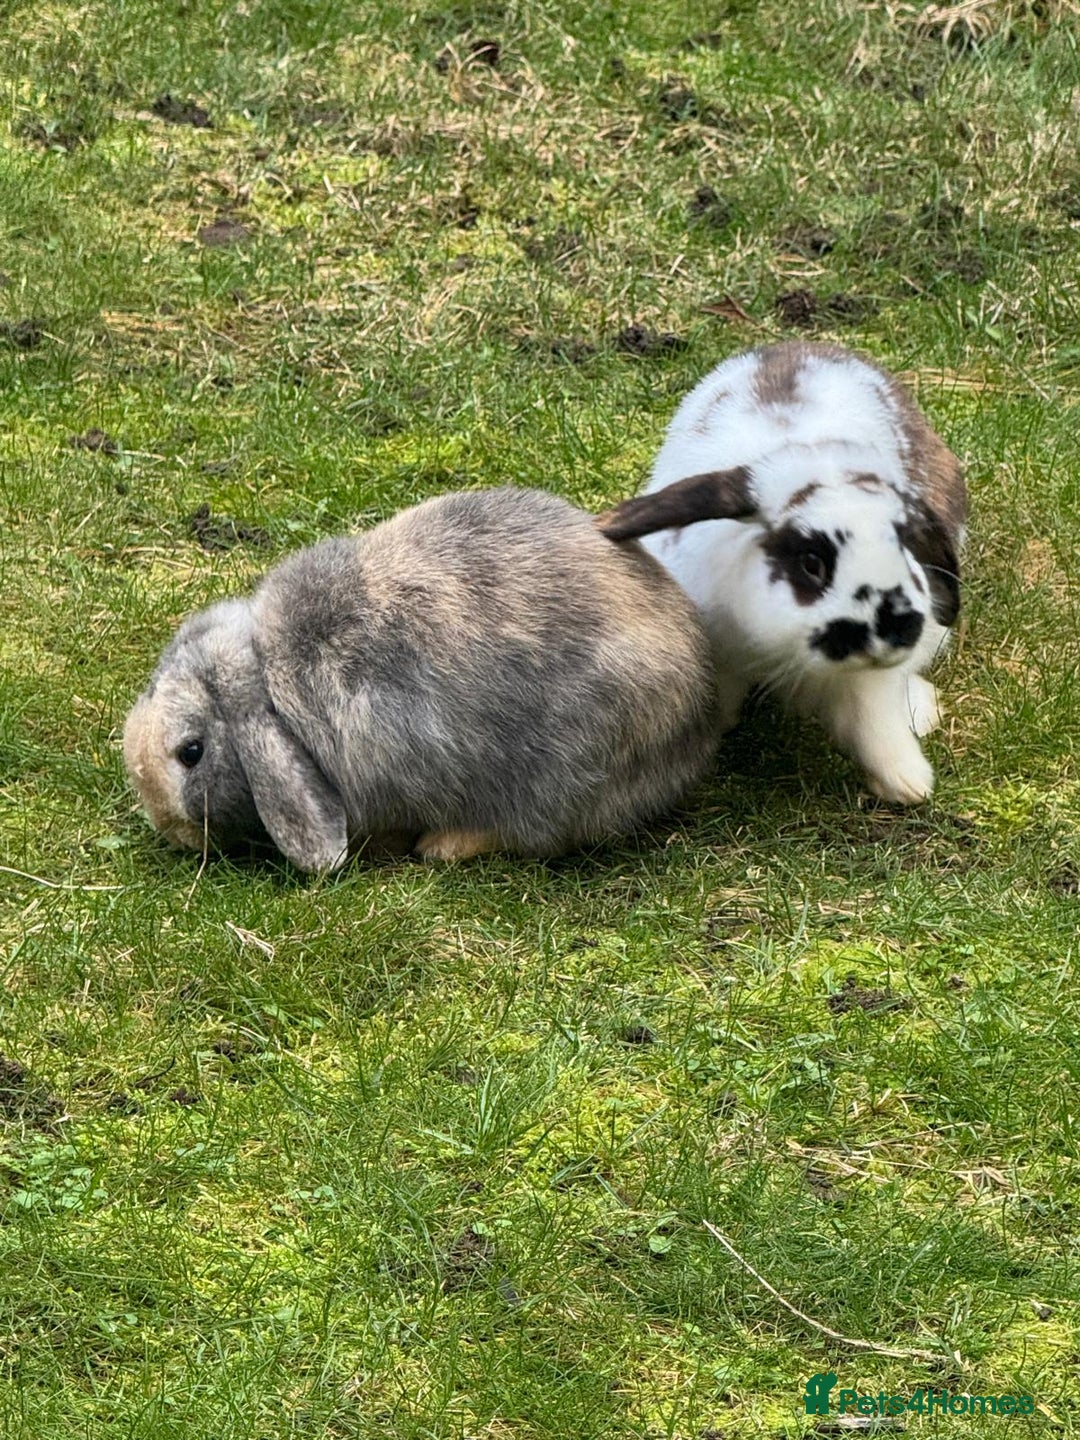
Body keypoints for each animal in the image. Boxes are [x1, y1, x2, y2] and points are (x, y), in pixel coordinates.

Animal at [597, 341, 967, 804]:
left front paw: (908, 783)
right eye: (812, 563)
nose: (892, 631)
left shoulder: (870, 684)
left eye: (906, 546)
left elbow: (874, 723)